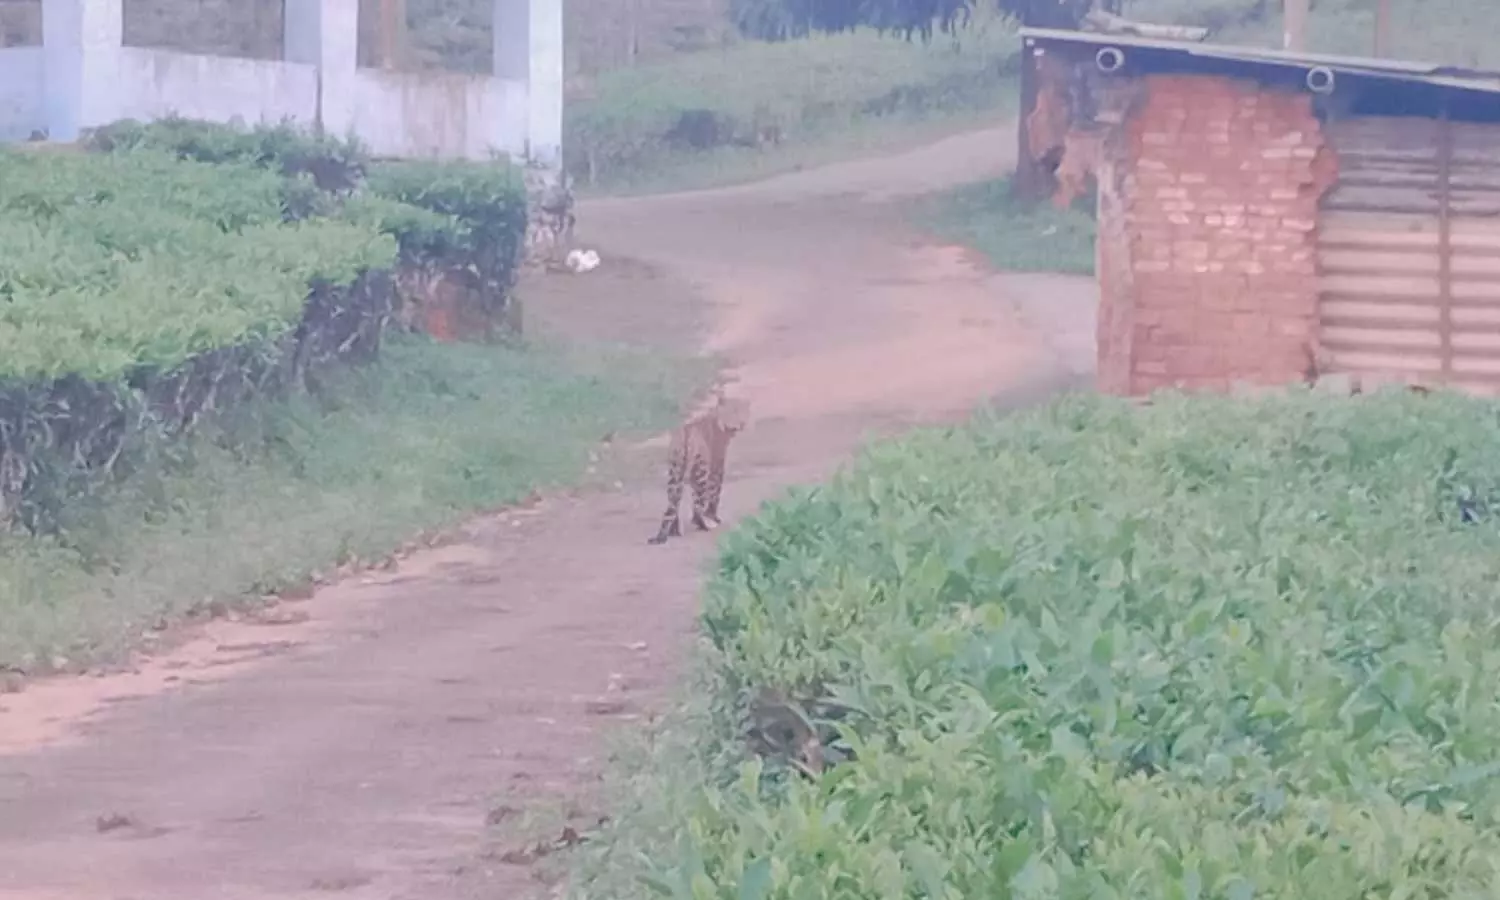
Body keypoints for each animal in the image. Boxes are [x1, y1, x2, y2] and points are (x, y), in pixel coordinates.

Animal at [647, 391, 750, 545]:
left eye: (743, 412)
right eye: (732, 412)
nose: (740, 424)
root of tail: (686, 433)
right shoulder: (716, 468)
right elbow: (715, 494)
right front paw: (713, 517)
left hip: (675, 472)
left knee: (673, 504)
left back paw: (671, 532)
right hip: (701, 472)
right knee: (697, 504)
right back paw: (704, 525)